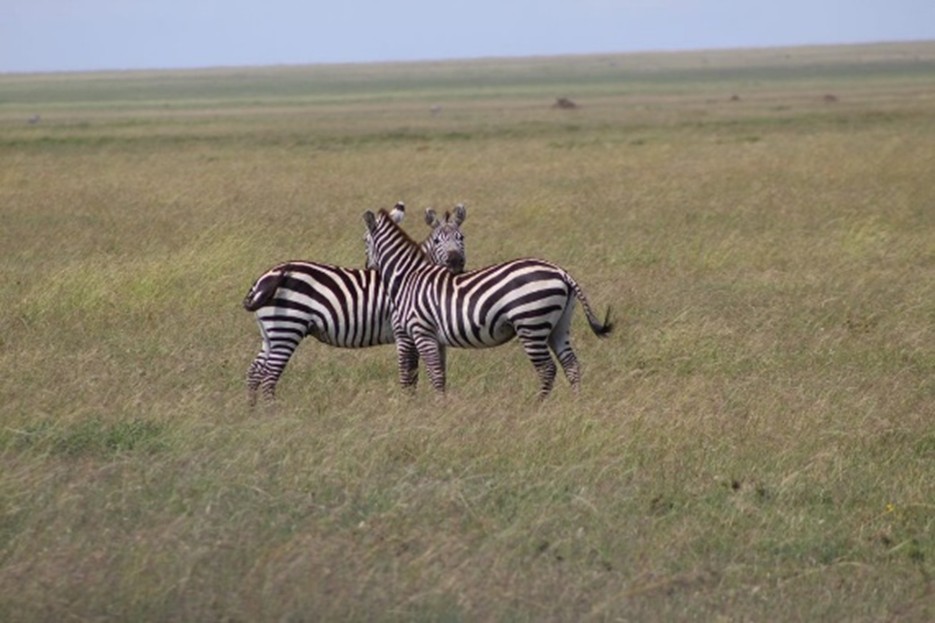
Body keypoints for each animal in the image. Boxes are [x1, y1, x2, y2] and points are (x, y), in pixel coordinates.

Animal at [244, 202, 468, 404]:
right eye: (437, 241)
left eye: (462, 238)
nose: (456, 262)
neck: (410, 274)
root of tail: (264, 278)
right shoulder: (403, 331)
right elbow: (410, 373)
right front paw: (411, 404)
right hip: (287, 327)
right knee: (269, 376)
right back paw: (272, 412)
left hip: (271, 332)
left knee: (255, 371)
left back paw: (253, 411)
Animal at [363, 207, 613, 399]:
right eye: (436, 240)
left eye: (364, 241)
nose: (366, 267)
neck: (408, 276)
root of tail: (561, 272)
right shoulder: (436, 337)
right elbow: (440, 375)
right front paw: (441, 405)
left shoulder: (421, 332)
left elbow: (433, 374)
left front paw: (438, 408)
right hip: (559, 325)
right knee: (571, 364)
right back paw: (577, 403)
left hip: (531, 323)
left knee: (547, 369)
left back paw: (538, 406)